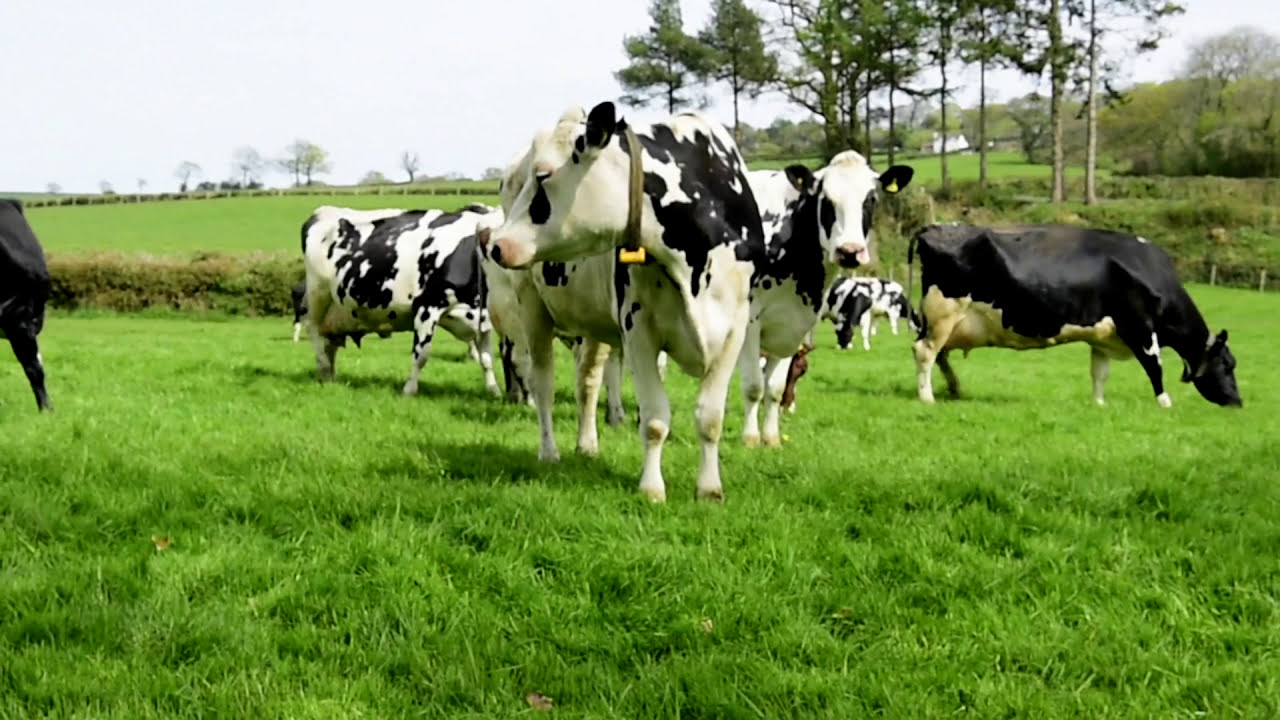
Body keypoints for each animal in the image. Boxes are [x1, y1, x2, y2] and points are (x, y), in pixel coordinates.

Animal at [301, 204, 500, 397]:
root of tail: (321, 212)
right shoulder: (427, 307)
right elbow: (421, 355)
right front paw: (409, 390)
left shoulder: (483, 320)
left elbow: (486, 358)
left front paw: (494, 390)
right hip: (317, 296)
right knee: (314, 331)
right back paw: (324, 367)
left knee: (329, 342)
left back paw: (329, 376)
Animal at [482, 101, 766, 503]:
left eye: (544, 175)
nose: (497, 243)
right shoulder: (639, 330)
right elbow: (655, 419)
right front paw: (651, 489)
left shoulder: (733, 329)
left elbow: (710, 417)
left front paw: (709, 489)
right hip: (531, 306)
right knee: (543, 384)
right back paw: (549, 451)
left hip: (593, 322)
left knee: (587, 381)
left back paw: (587, 445)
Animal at [736, 152, 914, 446]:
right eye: (827, 200)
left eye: (870, 199)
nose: (850, 251)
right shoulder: (750, 321)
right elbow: (753, 386)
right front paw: (750, 440)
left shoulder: (793, 325)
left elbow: (774, 388)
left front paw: (771, 439)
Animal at [907, 222, 1242, 407]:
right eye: (1227, 365)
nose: (1238, 402)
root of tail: (933, 227)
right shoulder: (1140, 327)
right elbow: (1154, 367)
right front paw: (1165, 403)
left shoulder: (1104, 336)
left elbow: (1100, 373)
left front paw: (1099, 404)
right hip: (942, 313)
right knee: (924, 352)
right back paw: (927, 397)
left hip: (943, 321)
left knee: (940, 355)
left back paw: (954, 388)